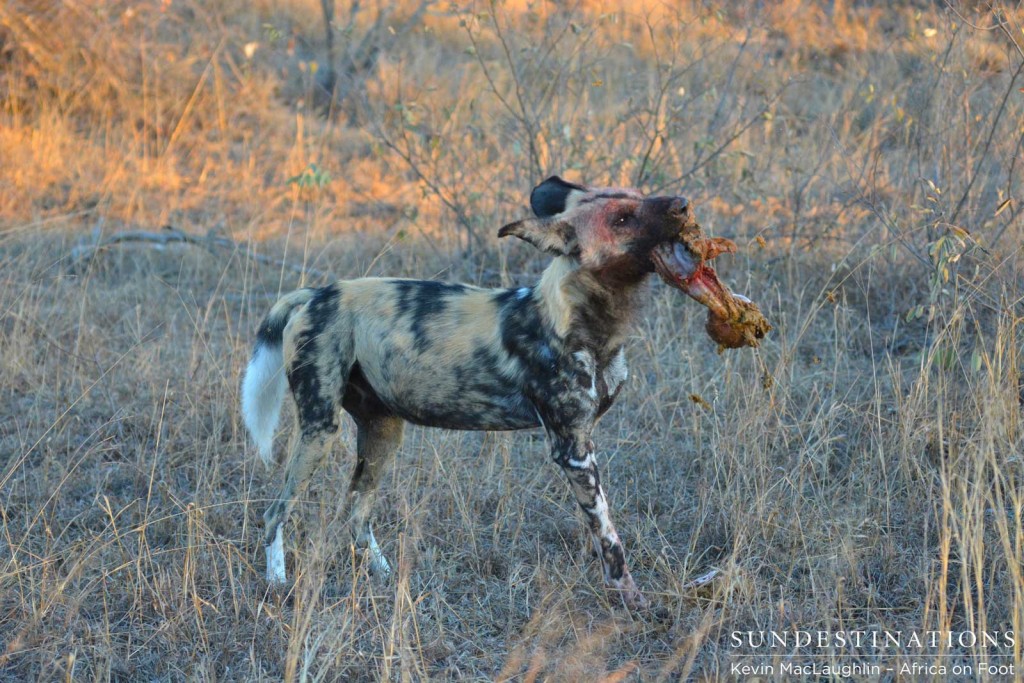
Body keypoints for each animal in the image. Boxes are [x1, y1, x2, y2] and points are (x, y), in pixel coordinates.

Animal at [240, 176, 729, 610]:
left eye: (639, 195)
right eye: (623, 218)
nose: (683, 204)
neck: (587, 324)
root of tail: (314, 292)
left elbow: (599, 529)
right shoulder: (573, 451)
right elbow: (610, 538)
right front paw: (631, 600)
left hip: (384, 434)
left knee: (355, 515)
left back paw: (386, 576)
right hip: (320, 432)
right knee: (275, 513)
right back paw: (278, 585)